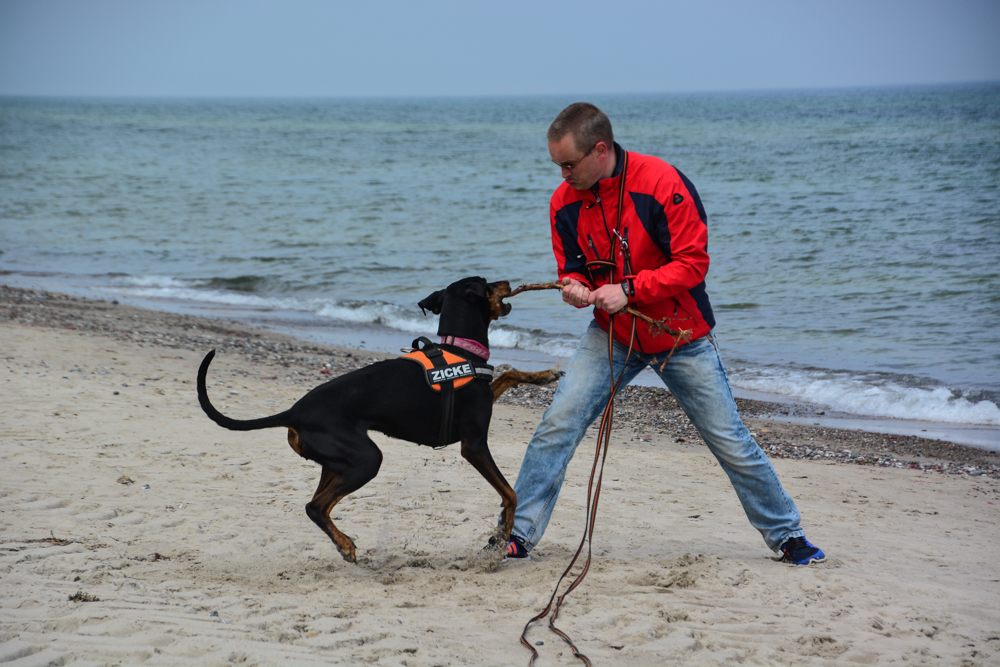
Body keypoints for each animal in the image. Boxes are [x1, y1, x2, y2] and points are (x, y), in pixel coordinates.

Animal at [195, 276, 556, 564]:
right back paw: (345, 545)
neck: (461, 351)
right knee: (316, 506)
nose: (509, 280)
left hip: (339, 461)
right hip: (365, 459)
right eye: (488, 282)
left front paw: (545, 375)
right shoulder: (474, 445)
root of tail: (295, 412)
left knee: (317, 505)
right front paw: (504, 531)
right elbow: (511, 493)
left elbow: (509, 374)